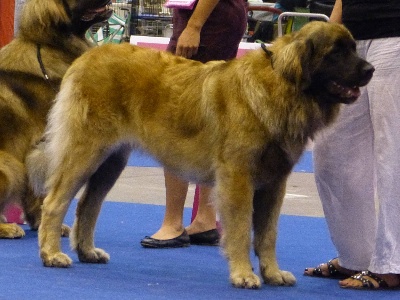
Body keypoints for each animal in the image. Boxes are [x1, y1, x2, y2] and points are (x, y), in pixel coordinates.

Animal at [36, 21, 374, 288]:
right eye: (336, 52)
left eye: (353, 48)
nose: (370, 70)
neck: (281, 86)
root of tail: (89, 55)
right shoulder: (238, 178)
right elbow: (241, 230)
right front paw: (244, 274)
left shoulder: (275, 183)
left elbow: (268, 234)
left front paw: (272, 273)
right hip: (86, 151)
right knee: (55, 202)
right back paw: (52, 254)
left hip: (112, 161)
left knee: (88, 204)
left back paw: (87, 252)